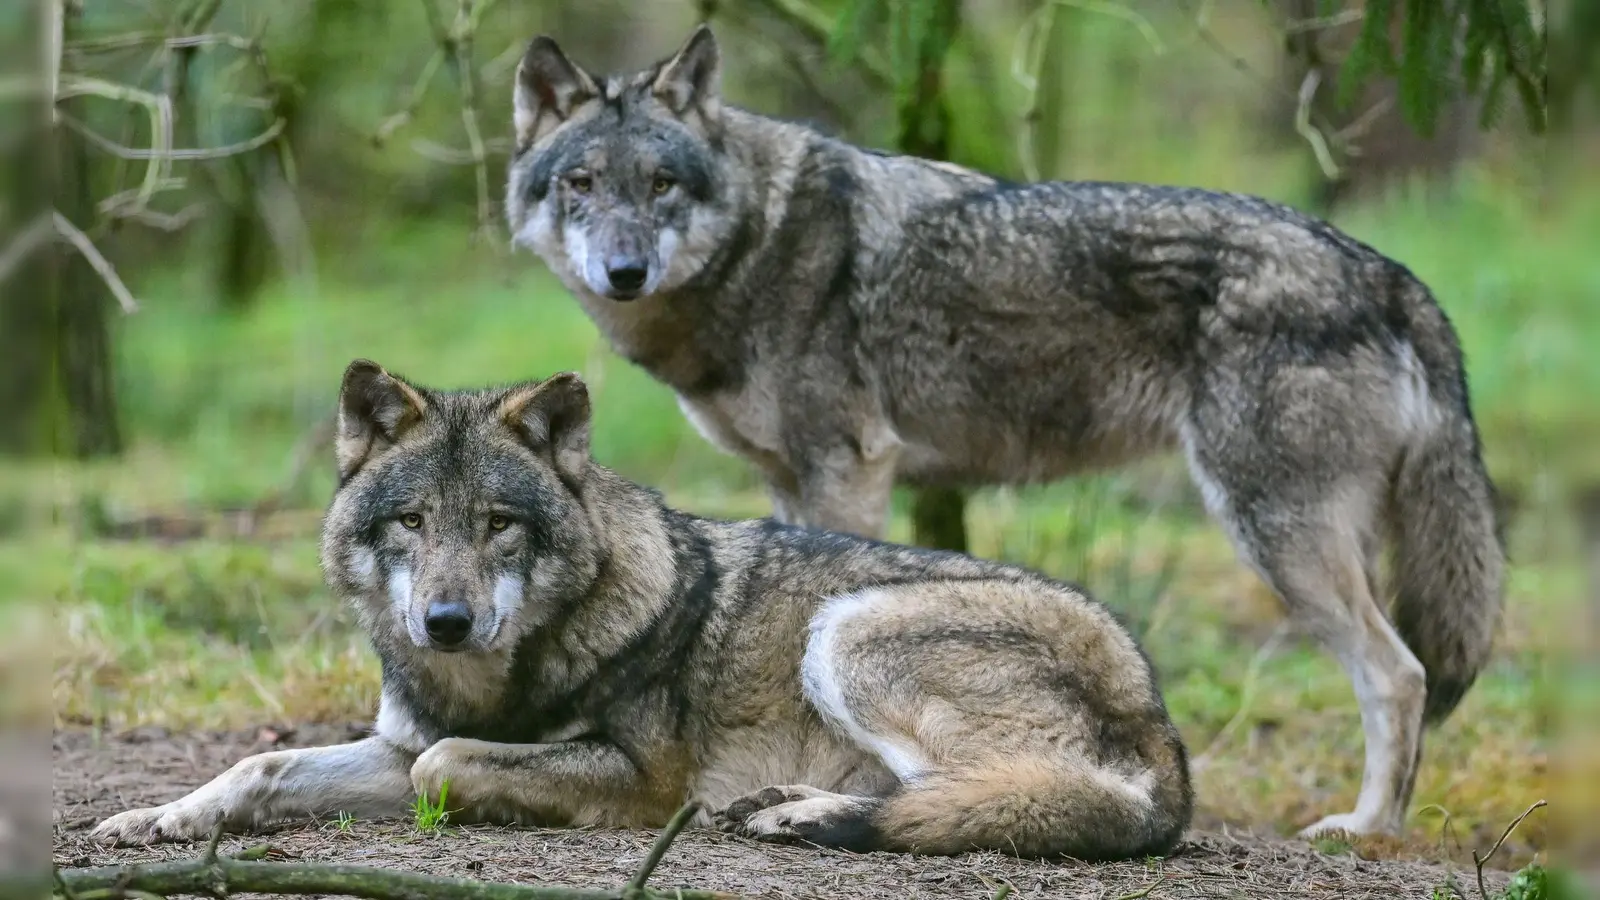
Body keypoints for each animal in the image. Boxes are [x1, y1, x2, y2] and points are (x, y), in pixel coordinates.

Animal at [90, 361, 1193, 860]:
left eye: (499, 525)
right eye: (411, 521)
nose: (444, 621)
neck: (497, 679)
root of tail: (1161, 720)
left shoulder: (641, 779)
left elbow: (448, 767)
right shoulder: (398, 741)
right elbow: (263, 766)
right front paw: (157, 816)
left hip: (849, 630)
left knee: (1005, 796)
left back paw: (805, 814)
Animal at [500, 25, 1506, 838]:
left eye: (661, 184)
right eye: (582, 184)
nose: (624, 271)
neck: (761, 239)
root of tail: (1387, 272)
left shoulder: (846, 472)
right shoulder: (792, 482)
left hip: (1274, 536)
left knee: (1400, 676)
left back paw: (1367, 829)